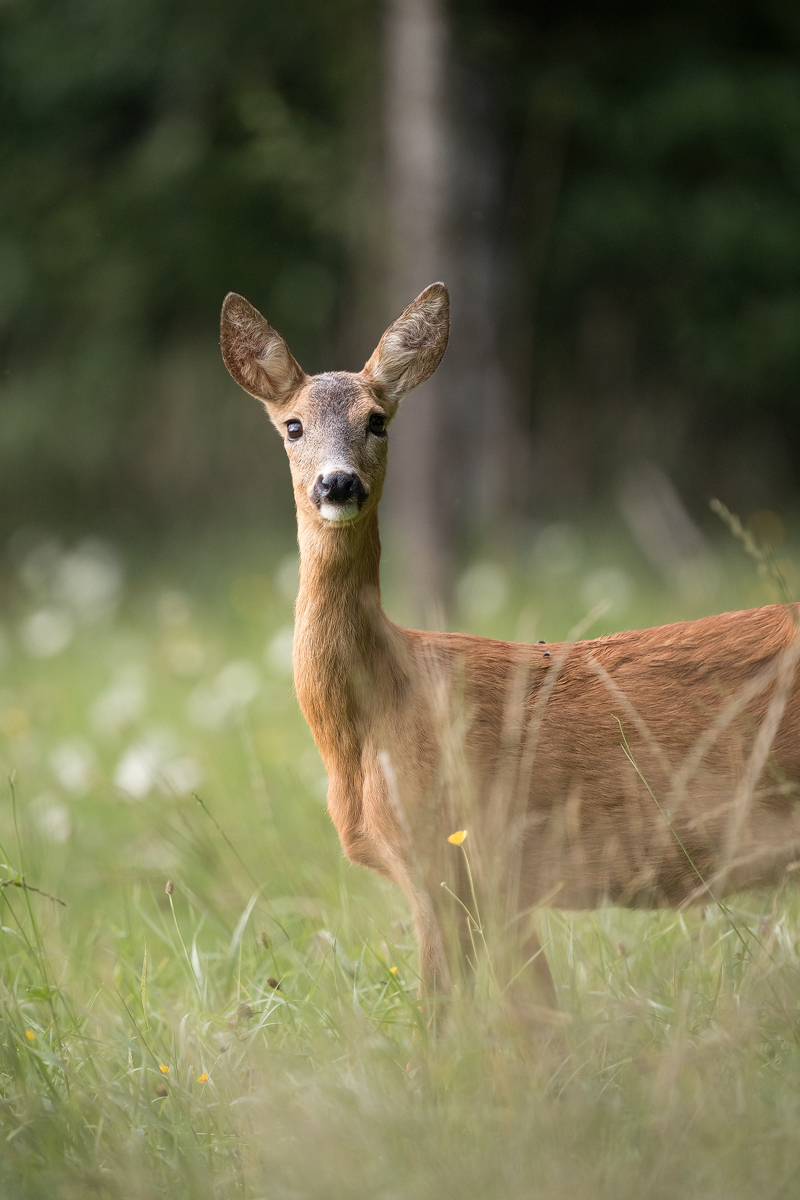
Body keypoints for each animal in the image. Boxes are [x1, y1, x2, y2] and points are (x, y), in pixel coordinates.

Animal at [220, 281, 800, 1011]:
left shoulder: (455, 850)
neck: (377, 711)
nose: (338, 484)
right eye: (293, 425)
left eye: (378, 419)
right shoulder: (483, 882)